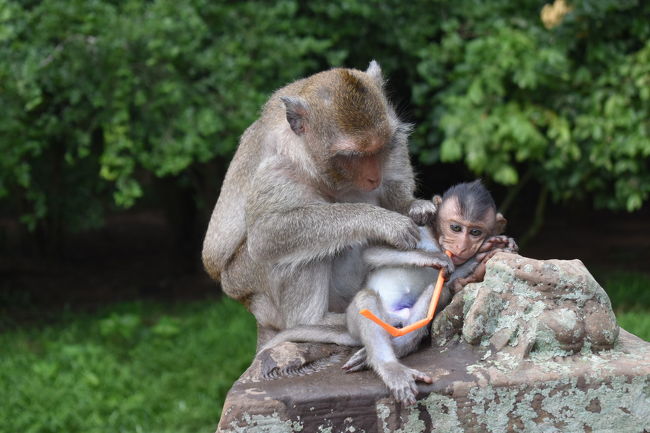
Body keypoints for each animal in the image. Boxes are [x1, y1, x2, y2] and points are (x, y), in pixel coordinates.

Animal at [201, 60, 436, 346]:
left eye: (379, 149)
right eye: (352, 156)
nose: (373, 177)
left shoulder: (394, 139)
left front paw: (413, 205)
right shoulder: (278, 166)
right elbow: (266, 234)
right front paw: (384, 222)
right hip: (248, 284)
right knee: (296, 254)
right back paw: (316, 322)